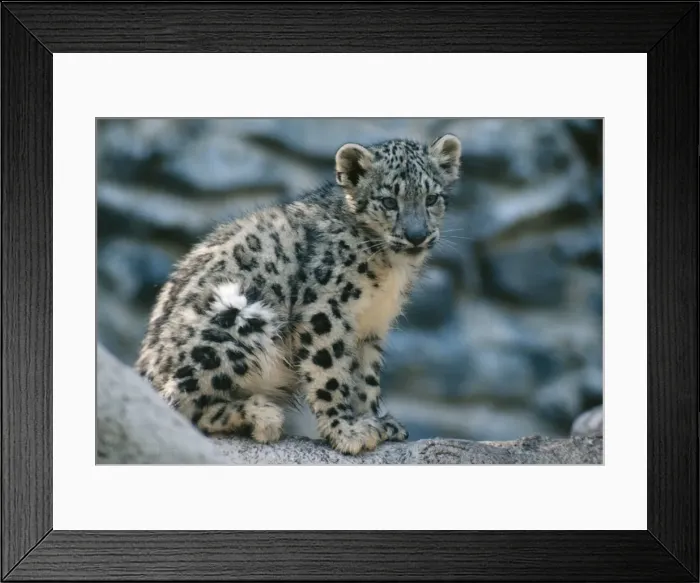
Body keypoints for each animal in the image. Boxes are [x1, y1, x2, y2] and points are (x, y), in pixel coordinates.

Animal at [135, 133, 462, 455]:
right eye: (389, 201)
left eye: (432, 198)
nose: (417, 235)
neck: (389, 271)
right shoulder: (326, 310)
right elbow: (330, 371)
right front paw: (346, 432)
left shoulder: (372, 326)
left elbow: (365, 377)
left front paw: (375, 421)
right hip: (238, 316)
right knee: (178, 403)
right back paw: (260, 416)